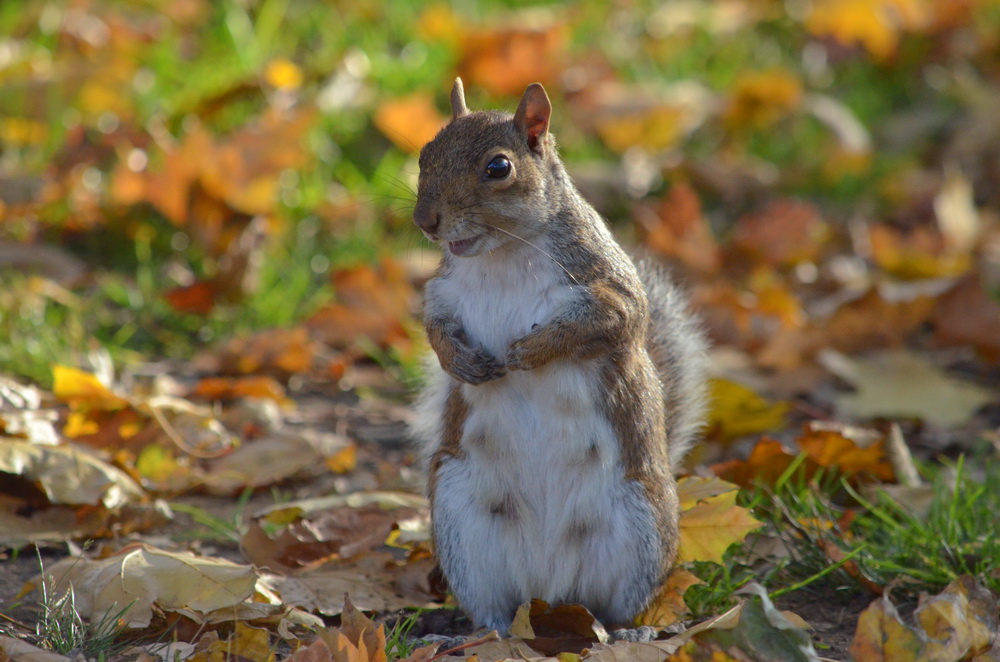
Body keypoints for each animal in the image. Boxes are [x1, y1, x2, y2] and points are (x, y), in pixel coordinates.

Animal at [410, 80, 708, 636]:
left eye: (498, 168)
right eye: (424, 154)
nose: (426, 222)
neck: (502, 254)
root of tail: (547, 590)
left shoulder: (610, 285)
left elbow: (615, 319)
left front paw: (532, 349)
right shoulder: (442, 293)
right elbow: (435, 330)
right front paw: (462, 364)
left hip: (641, 524)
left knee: (613, 608)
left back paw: (630, 630)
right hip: (461, 520)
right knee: (492, 605)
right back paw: (477, 633)